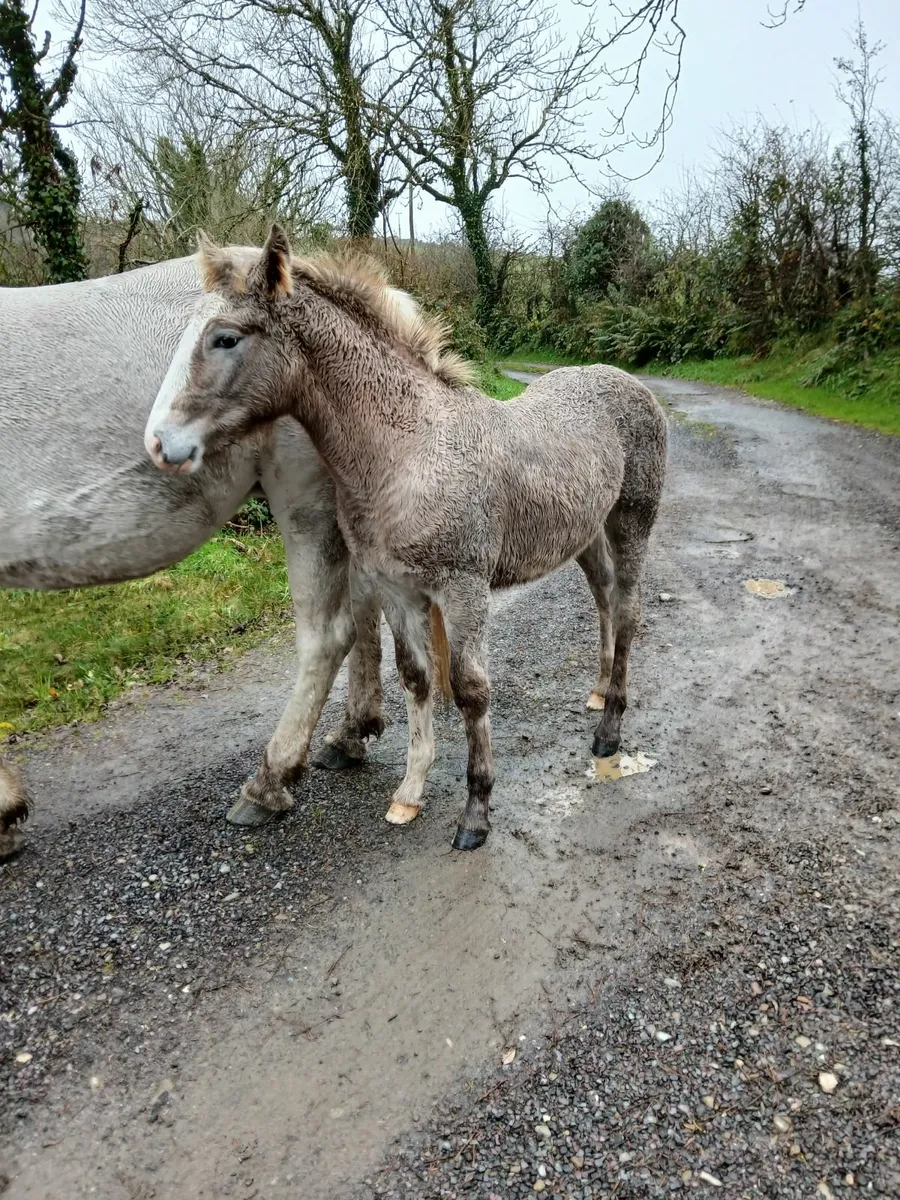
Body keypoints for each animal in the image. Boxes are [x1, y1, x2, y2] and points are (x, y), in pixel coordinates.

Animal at [0, 248, 440, 856]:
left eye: (225, 340)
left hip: (307, 503)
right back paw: (350, 734)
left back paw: (271, 780)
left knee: (329, 634)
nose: (158, 442)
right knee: (362, 611)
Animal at [146, 227, 668, 851]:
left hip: (632, 519)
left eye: (225, 338)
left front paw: (475, 812)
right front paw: (410, 792)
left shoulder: (463, 588)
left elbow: (469, 687)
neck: (409, 450)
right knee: (605, 598)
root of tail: (627, 381)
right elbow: (416, 678)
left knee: (629, 609)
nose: (160, 443)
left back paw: (610, 728)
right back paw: (597, 692)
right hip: (585, 533)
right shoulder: (396, 588)